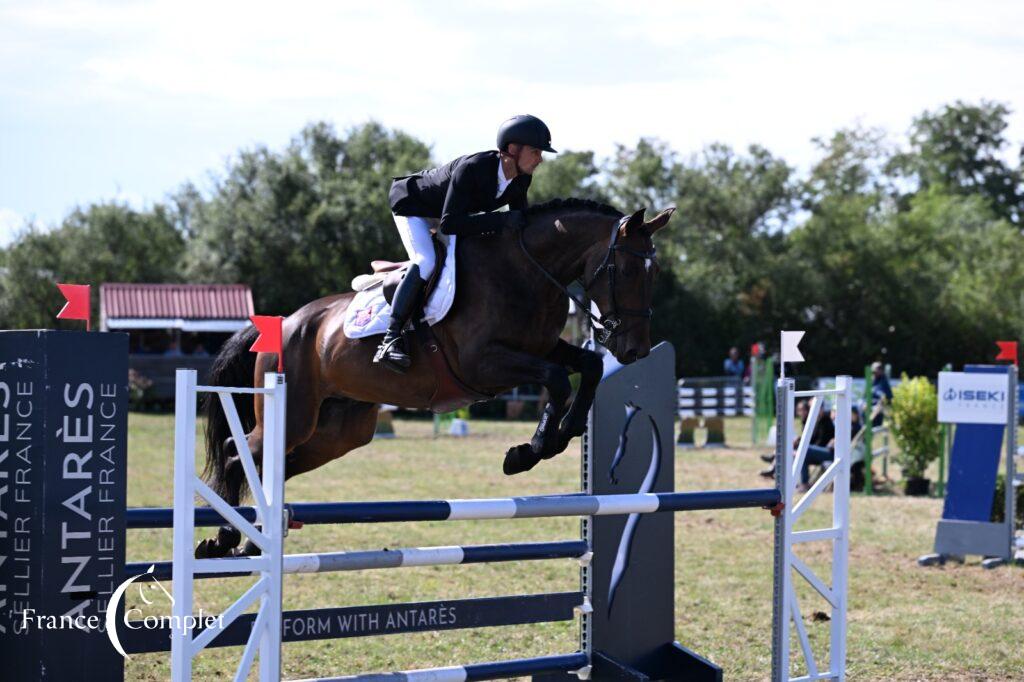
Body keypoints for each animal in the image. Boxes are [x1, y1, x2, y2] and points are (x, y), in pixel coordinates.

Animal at [193, 197, 671, 557]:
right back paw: (223, 539)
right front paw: (528, 451)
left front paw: (562, 434)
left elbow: (588, 367)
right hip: (295, 414)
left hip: (339, 432)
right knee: (239, 451)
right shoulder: (483, 363)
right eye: (629, 270)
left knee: (277, 464)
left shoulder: (540, 348)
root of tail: (283, 322)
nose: (635, 350)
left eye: (657, 274)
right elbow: (555, 379)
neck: (526, 269)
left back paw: (250, 540)